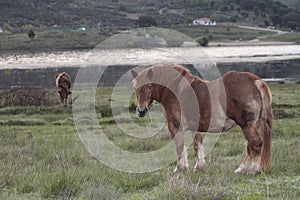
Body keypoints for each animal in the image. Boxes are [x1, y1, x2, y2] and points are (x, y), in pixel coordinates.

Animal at [131, 64, 272, 173]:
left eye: (149, 86)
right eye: (135, 87)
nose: (141, 111)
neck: (175, 90)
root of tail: (255, 82)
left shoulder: (175, 126)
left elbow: (180, 147)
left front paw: (180, 169)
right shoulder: (196, 128)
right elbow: (197, 145)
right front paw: (199, 167)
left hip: (246, 125)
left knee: (256, 144)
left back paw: (252, 170)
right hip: (252, 125)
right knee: (251, 146)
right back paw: (242, 169)